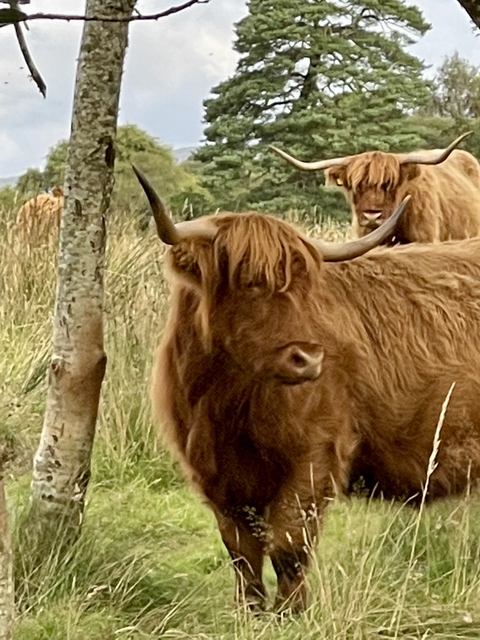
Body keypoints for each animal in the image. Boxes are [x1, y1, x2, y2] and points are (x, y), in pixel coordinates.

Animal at [134, 165, 480, 613]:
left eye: (305, 286)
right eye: (250, 282)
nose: (309, 358)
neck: (225, 403)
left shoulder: (315, 455)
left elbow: (288, 545)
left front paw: (291, 612)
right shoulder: (216, 474)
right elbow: (241, 552)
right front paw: (250, 611)